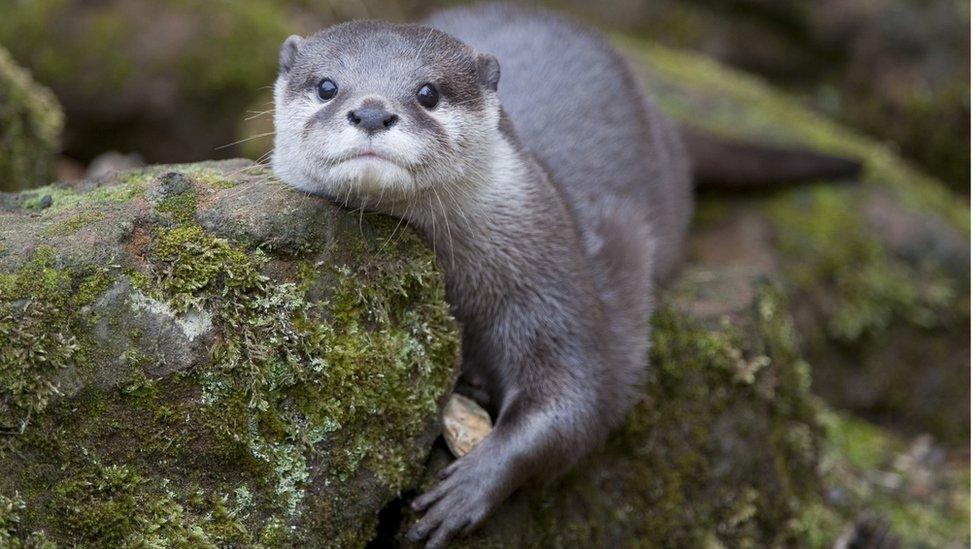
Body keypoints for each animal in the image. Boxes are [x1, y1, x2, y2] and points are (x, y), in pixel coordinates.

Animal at [270, 3, 856, 544]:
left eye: (428, 93)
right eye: (327, 86)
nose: (372, 112)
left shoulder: (554, 278)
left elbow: (581, 395)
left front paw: (469, 486)